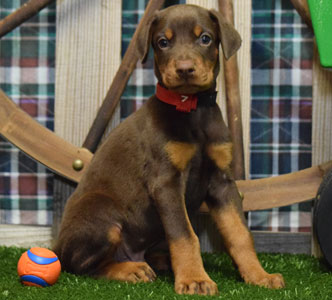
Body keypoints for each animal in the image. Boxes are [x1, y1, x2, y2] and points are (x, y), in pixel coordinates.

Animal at [53, 4, 284, 296]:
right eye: (163, 42)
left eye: (205, 38)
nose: (185, 69)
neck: (192, 109)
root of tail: (56, 247)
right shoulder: (166, 182)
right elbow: (184, 234)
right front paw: (195, 279)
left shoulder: (222, 182)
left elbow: (240, 233)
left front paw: (258, 275)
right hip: (101, 214)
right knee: (81, 265)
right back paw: (131, 270)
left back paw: (159, 262)